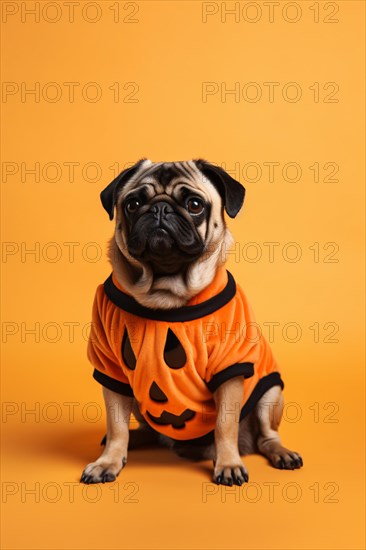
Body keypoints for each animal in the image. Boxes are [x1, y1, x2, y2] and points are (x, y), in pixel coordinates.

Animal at [81, 160, 304, 488]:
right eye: (132, 205)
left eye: (194, 205)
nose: (159, 209)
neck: (166, 293)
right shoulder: (112, 372)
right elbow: (116, 424)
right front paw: (108, 461)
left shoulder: (230, 372)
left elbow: (225, 425)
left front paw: (228, 465)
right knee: (148, 430)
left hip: (270, 394)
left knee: (266, 437)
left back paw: (281, 453)